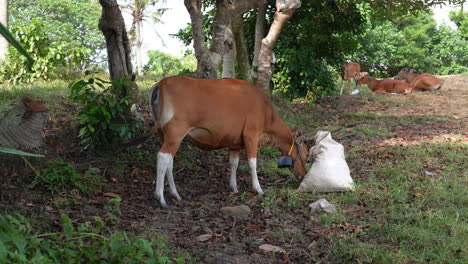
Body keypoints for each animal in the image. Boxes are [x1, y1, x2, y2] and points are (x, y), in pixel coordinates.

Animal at [130, 76, 308, 208]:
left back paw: (175, 194)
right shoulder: (251, 135)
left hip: (164, 134)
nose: (303, 174)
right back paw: (160, 198)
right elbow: (252, 163)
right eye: (306, 155)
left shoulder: (235, 144)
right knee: (162, 157)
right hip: (175, 133)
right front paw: (258, 188)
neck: (266, 113)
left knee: (169, 161)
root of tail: (162, 82)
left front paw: (234, 187)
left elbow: (234, 163)